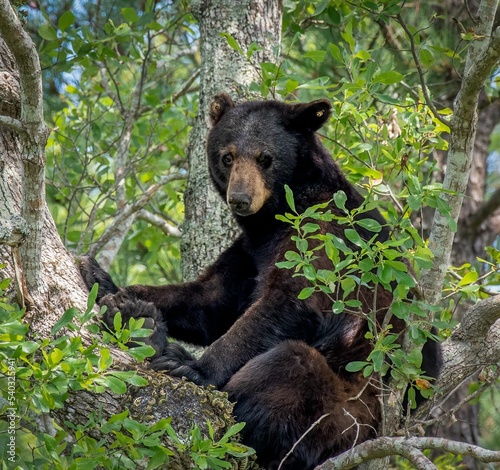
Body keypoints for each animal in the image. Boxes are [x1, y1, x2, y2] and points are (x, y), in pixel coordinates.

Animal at [79, 95, 442, 470]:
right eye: (227, 156)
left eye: (265, 158)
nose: (239, 198)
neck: (276, 217)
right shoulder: (251, 251)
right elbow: (209, 300)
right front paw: (110, 286)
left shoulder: (325, 235)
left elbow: (290, 302)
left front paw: (194, 368)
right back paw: (148, 326)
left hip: (344, 413)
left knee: (288, 367)